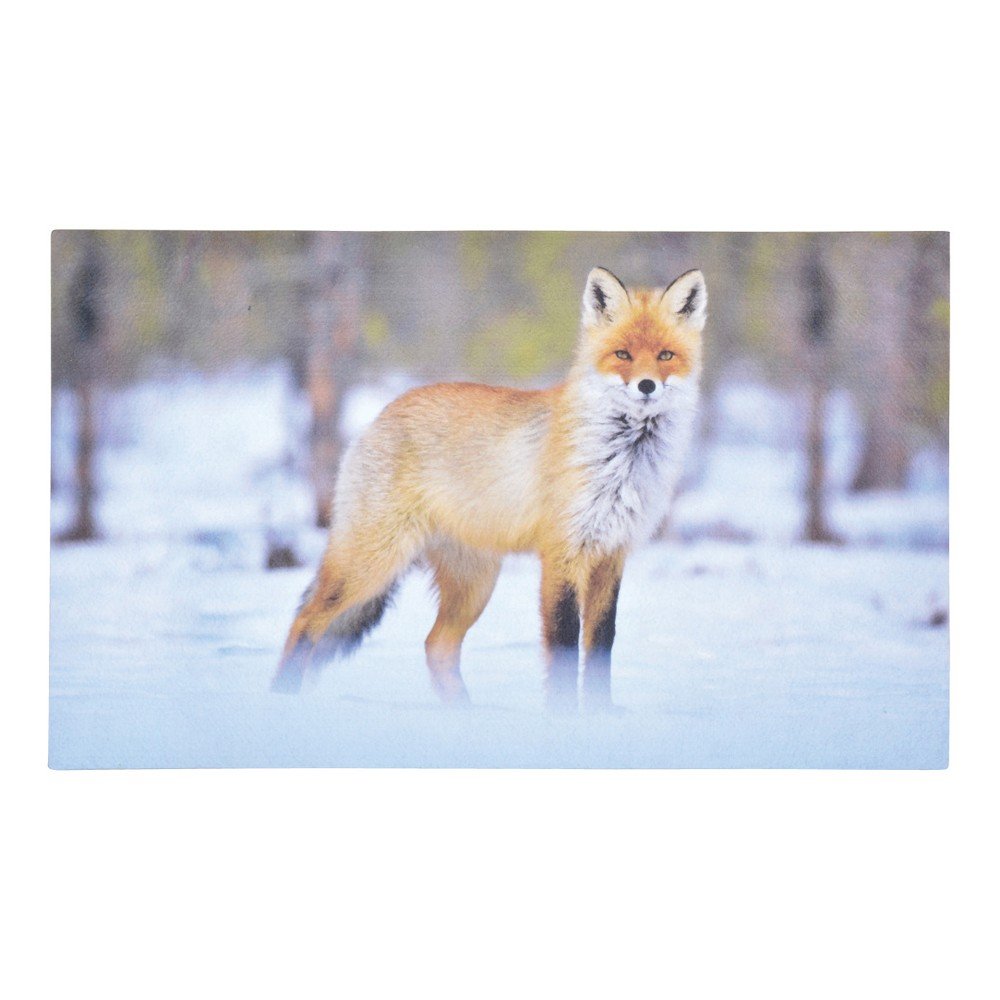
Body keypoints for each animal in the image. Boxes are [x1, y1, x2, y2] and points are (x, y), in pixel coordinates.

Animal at [273, 266, 706, 709]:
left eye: (665, 356)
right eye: (622, 355)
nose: (647, 385)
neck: (622, 459)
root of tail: (379, 415)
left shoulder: (611, 555)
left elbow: (601, 644)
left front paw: (599, 713)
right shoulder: (563, 553)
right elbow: (564, 644)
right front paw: (564, 714)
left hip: (473, 586)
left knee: (436, 646)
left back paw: (467, 714)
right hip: (371, 563)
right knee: (304, 622)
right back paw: (281, 699)